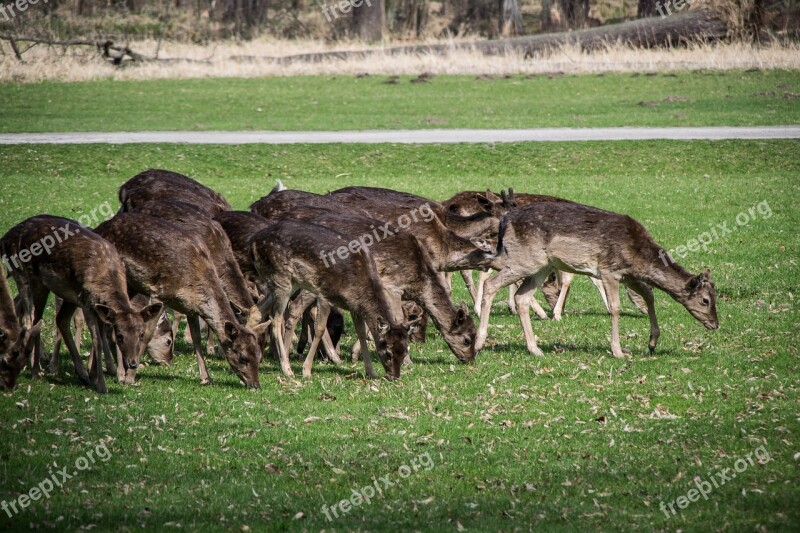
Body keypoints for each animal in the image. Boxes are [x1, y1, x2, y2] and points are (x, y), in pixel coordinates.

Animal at [0, 214, 162, 392]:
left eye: (141, 334)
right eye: (119, 336)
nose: (133, 363)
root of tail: (5, 237)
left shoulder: (97, 306)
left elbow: (99, 334)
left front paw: (93, 375)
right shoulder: (87, 303)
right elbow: (97, 340)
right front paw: (101, 385)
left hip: (68, 294)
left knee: (59, 319)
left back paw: (81, 373)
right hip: (28, 277)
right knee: (33, 320)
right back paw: (36, 370)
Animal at [93, 212, 262, 386]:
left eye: (259, 356)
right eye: (242, 357)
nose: (255, 384)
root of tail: (100, 227)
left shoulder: (191, 308)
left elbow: (196, 339)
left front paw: (206, 377)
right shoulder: (159, 293)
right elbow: (147, 334)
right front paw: (130, 377)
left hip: (132, 286)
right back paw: (118, 373)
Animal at [250, 219, 416, 378]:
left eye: (404, 351)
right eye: (388, 352)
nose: (394, 376)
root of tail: (253, 242)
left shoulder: (354, 305)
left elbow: (361, 332)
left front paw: (371, 372)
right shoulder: (325, 293)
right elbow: (320, 329)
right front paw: (306, 371)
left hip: (289, 283)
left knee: (256, 310)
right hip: (281, 279)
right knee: (276, 319)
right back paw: (287, 368)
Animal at [476, 203, 720, 358]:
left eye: (715, 298)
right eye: (705, 300)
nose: (715, 324)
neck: (639, 256)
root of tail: (504, 221)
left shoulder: (629, 275)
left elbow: (649, 295)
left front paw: (651, 343)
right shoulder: (609, 270)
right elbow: (615, 307)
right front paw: (619, 351)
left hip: (541, 266)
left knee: (522, 297)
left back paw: (535, 349)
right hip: (524, 259)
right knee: (491, 283)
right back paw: (479, 342)